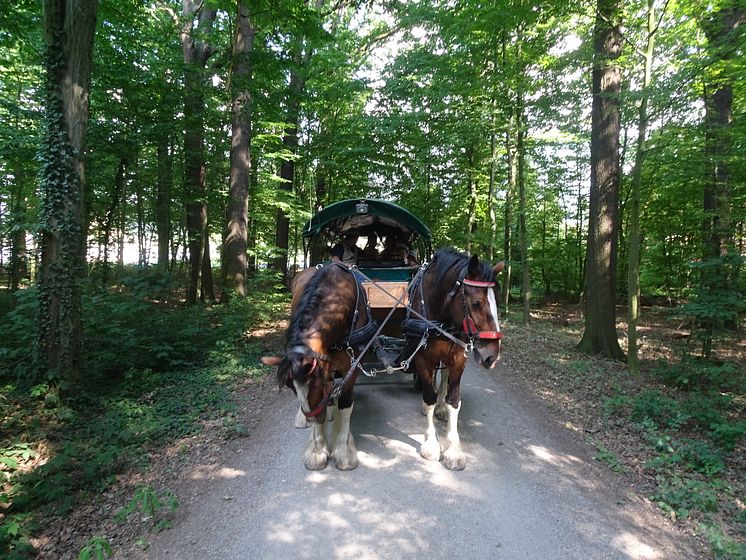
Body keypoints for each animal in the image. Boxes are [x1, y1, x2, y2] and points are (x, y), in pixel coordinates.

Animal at [264, 264, 378, 470]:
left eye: (313, 381)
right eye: (291, 386)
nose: (312, 418)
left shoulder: (352, 367)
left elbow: (345, 404)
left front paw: (344, 450)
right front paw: (317, 449)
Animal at [402, 247, 506, 470]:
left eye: (498, 302)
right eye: (476, 303)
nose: (492, 356)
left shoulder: (459, 358)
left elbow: (454, 400)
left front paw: (454, 450)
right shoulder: (423, 358)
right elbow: (429, 396)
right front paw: (431, 445)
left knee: (444, 377)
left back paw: (440, 408)